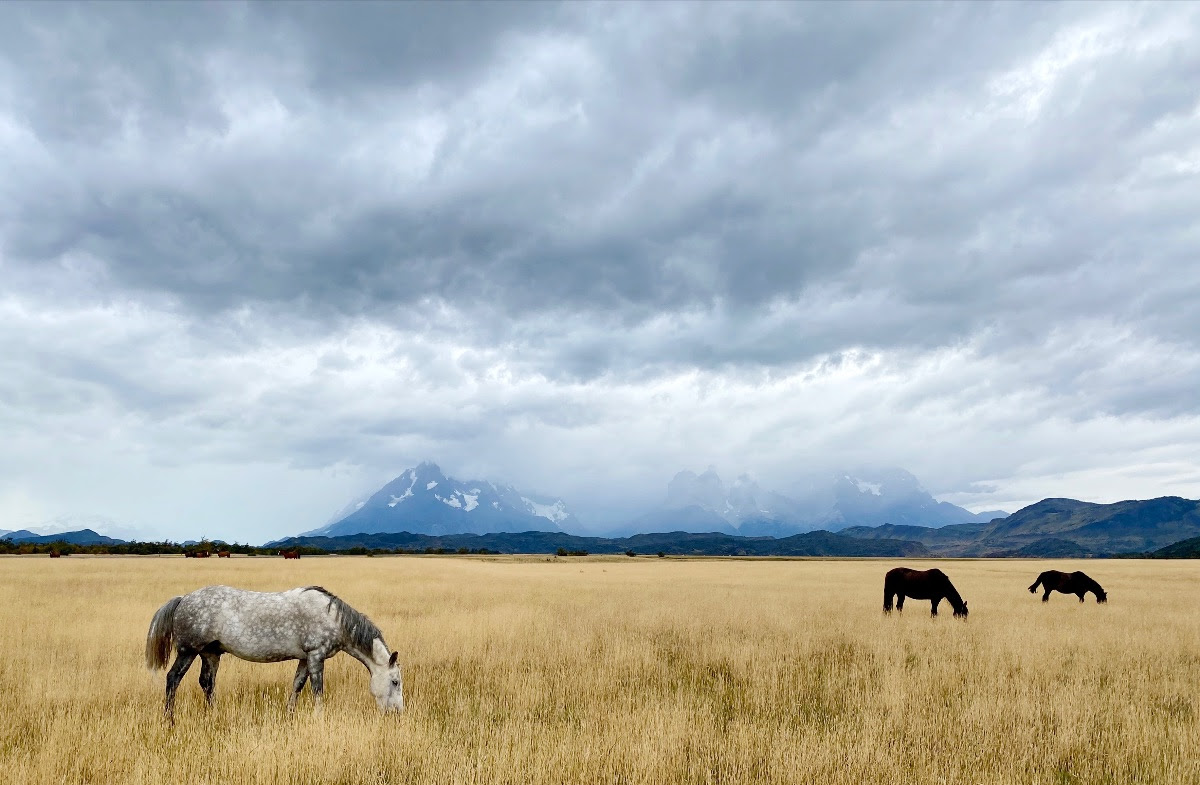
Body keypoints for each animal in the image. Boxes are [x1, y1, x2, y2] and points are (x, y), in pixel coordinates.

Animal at [145, 588, 405, 724]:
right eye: (395, 682)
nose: (397, 713)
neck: (332, 618)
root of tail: (183, 599)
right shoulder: (316, 656)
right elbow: (317, 690)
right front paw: (319, 718)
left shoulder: (304, 658)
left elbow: (297, 685)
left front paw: (289, 715)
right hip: (188, 652)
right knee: (173, 679)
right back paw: (169, 720)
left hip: (210, 654)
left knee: (207, 683)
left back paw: (214, 715)